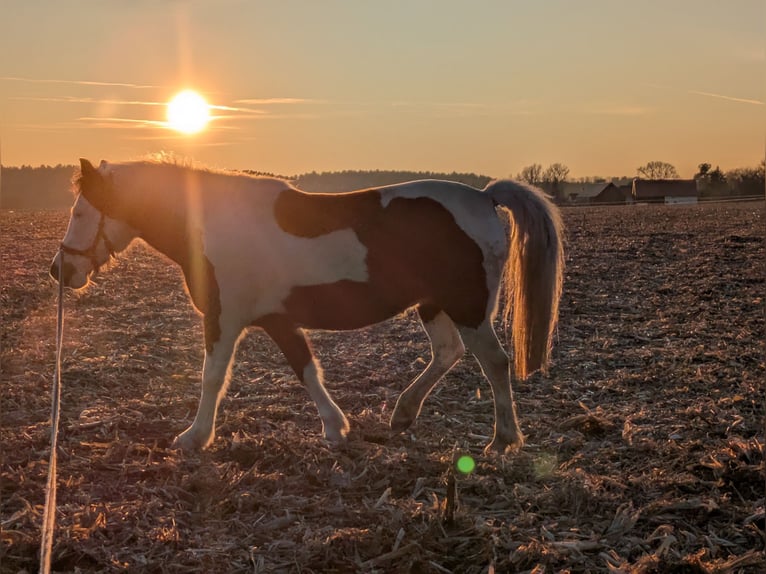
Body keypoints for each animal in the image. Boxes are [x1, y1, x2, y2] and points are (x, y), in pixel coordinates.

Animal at [51, 158, 564, 454]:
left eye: (79, 211)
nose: (60, 270)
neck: (210, 224)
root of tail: (483, 197)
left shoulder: (225, 319)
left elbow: (213, 377)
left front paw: (194, 438)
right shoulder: (278, 320)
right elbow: (307, 371)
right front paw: (337, 429)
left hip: (468, 308)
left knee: (495, 362)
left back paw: (503, 438)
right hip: (433, 305)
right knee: (447, 354)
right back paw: (403, 414)